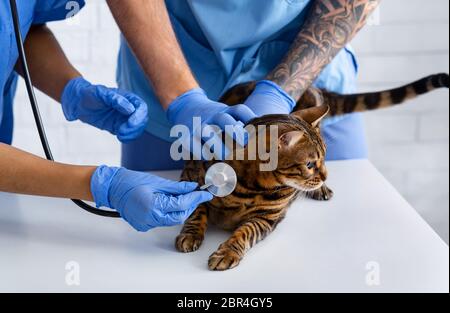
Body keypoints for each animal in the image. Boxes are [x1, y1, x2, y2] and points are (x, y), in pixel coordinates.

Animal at [176, 72, 450, 268]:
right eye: (309, 164)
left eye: (325, 158)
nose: (325, 174)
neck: (250, 186)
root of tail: (316, 88)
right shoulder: (193, 175)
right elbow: (195, 211)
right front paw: (190, 234)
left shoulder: (268, 217)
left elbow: (245, 233)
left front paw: (228, 251)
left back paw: (321, 189)